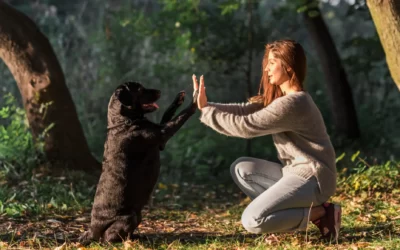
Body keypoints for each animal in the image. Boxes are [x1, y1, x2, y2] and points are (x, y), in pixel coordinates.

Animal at [79, 81, 198, 242]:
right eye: (140, 89)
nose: (159, 91)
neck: (124, 121)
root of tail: (92, 231)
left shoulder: (160, 141)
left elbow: (168, 114)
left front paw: (178, 99)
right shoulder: (163, 134)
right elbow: (180, 117)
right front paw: (195, 101)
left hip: (138, 215)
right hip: (130, 217)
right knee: (109, 238)